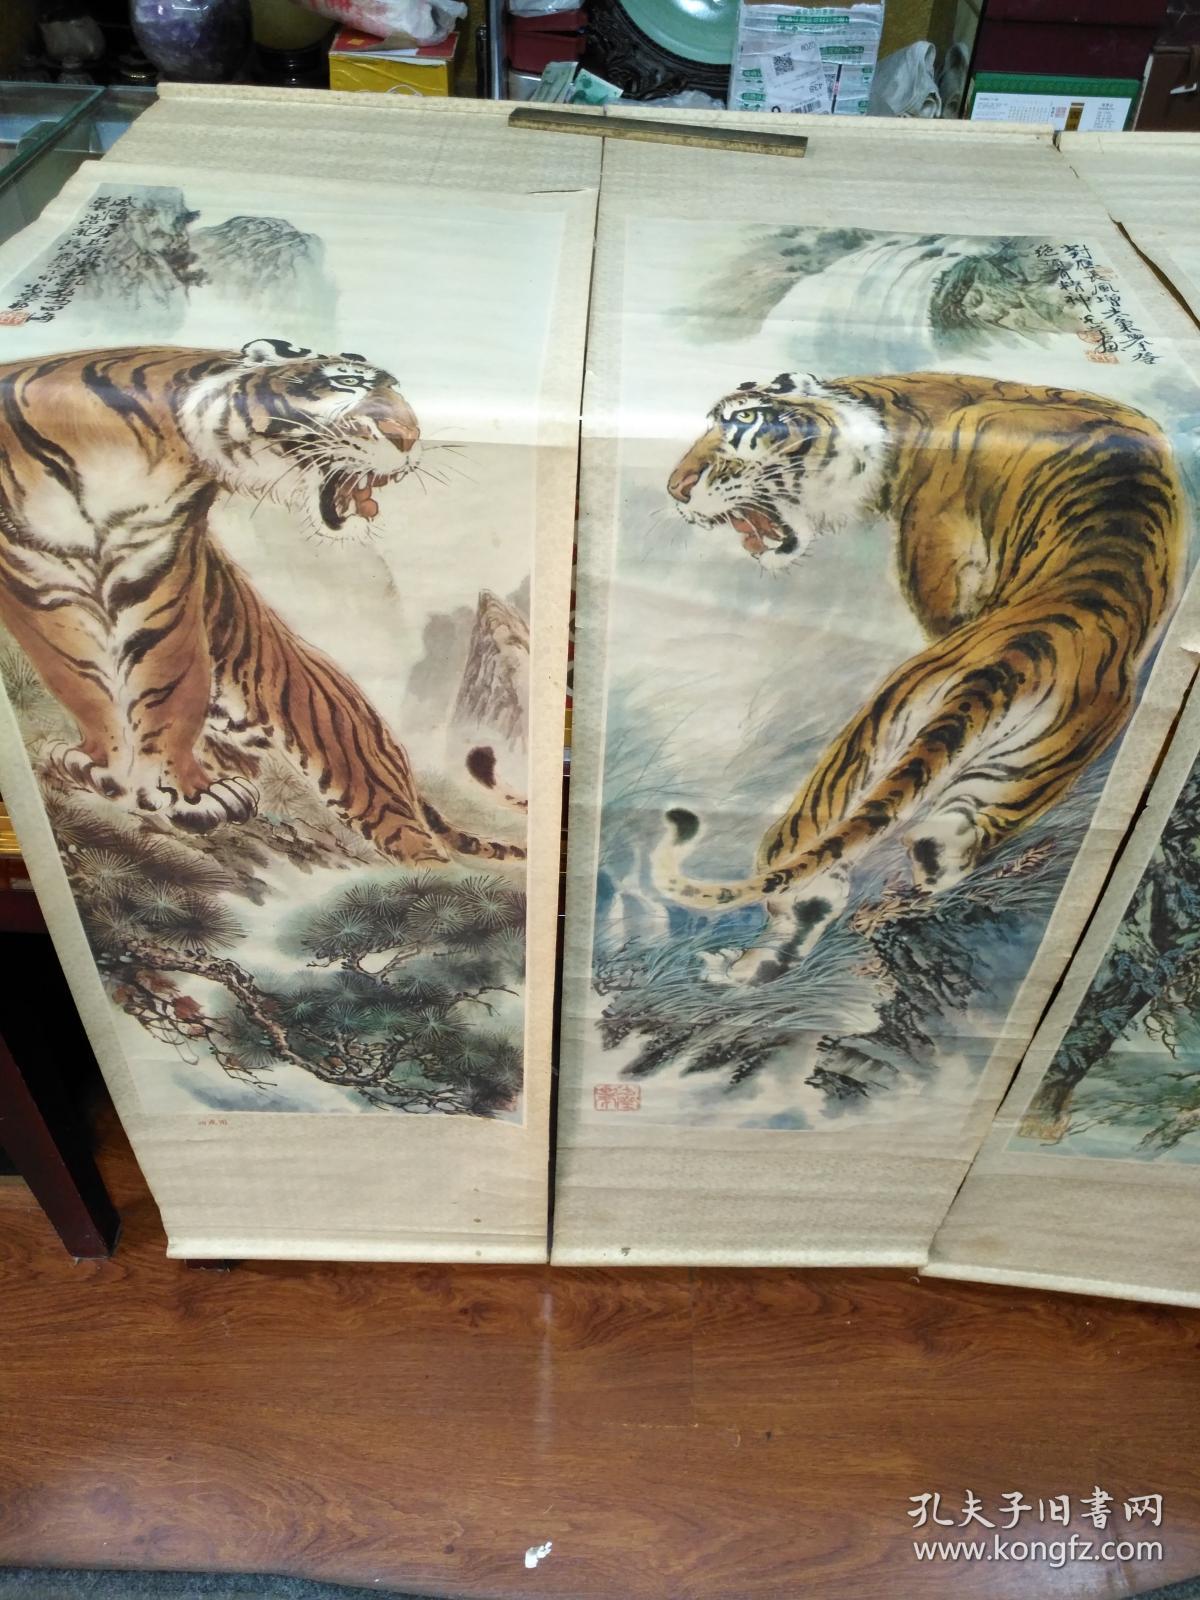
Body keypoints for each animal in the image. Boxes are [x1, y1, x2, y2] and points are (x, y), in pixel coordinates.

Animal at [0, 338, 523, 866]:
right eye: (348, 383)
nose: (410, 437)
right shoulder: (33, 585)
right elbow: (81, 683)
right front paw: (105, 767)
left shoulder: (164, 575)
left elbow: (169, 688)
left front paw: (184, 794)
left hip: (365, 781)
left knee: (423, 850)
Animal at [655, 370, 1184, 984]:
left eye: (741, 421)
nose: (676, 488)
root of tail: (1020, 654)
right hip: (1030, 772)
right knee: (939, 841)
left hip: (849, 763)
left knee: (806, 878)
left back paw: (733, 971)